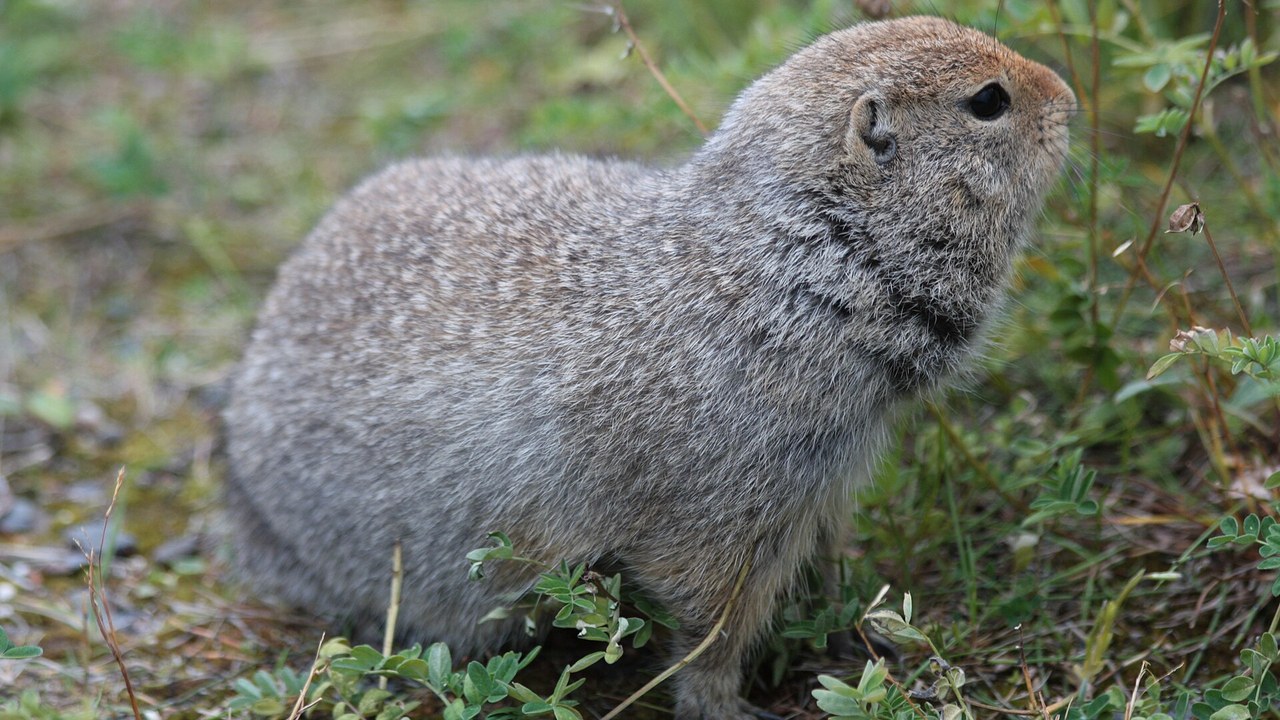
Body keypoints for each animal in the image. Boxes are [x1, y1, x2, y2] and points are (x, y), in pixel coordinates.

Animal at [224, 16, 1074, 719]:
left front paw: (868, 636)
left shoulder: (820, 485)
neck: (797, 260)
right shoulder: (724, 507)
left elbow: (823, 569)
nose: (1068, 97)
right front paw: (727, 704)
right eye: (989, 101)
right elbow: (711, 621)